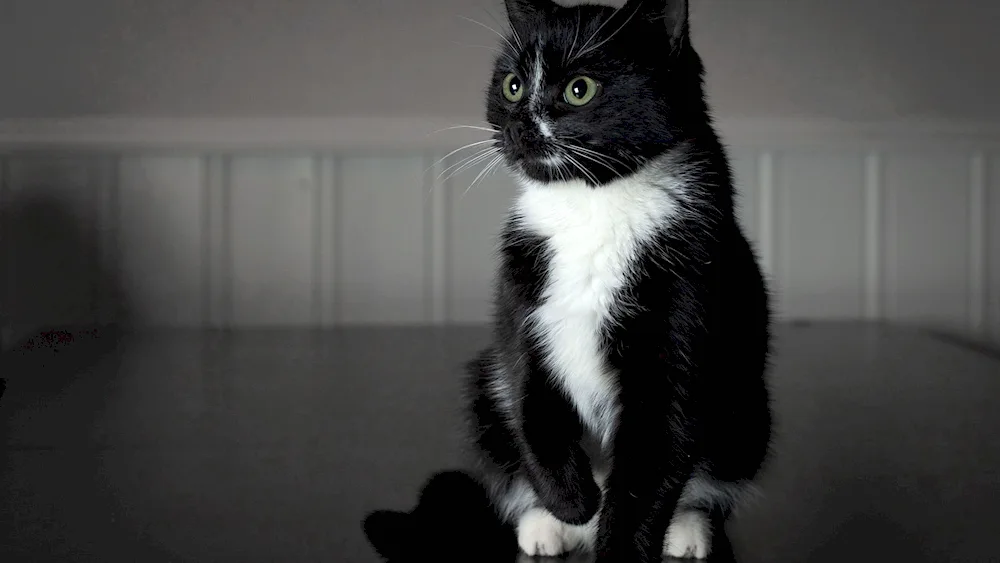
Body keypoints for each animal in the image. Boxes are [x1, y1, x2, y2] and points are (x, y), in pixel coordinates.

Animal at [460, 1, 772, 563]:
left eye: (579, 89)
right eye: (512, 86)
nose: (518, 125)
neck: (591, 206)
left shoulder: (689, 287)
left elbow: (657, 450)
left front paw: (621, 542)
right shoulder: (520, 284)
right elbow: (528, 394)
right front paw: (572, 502)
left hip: (746, 413)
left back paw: (687, 528)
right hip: (484, 389)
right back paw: (547, 523)